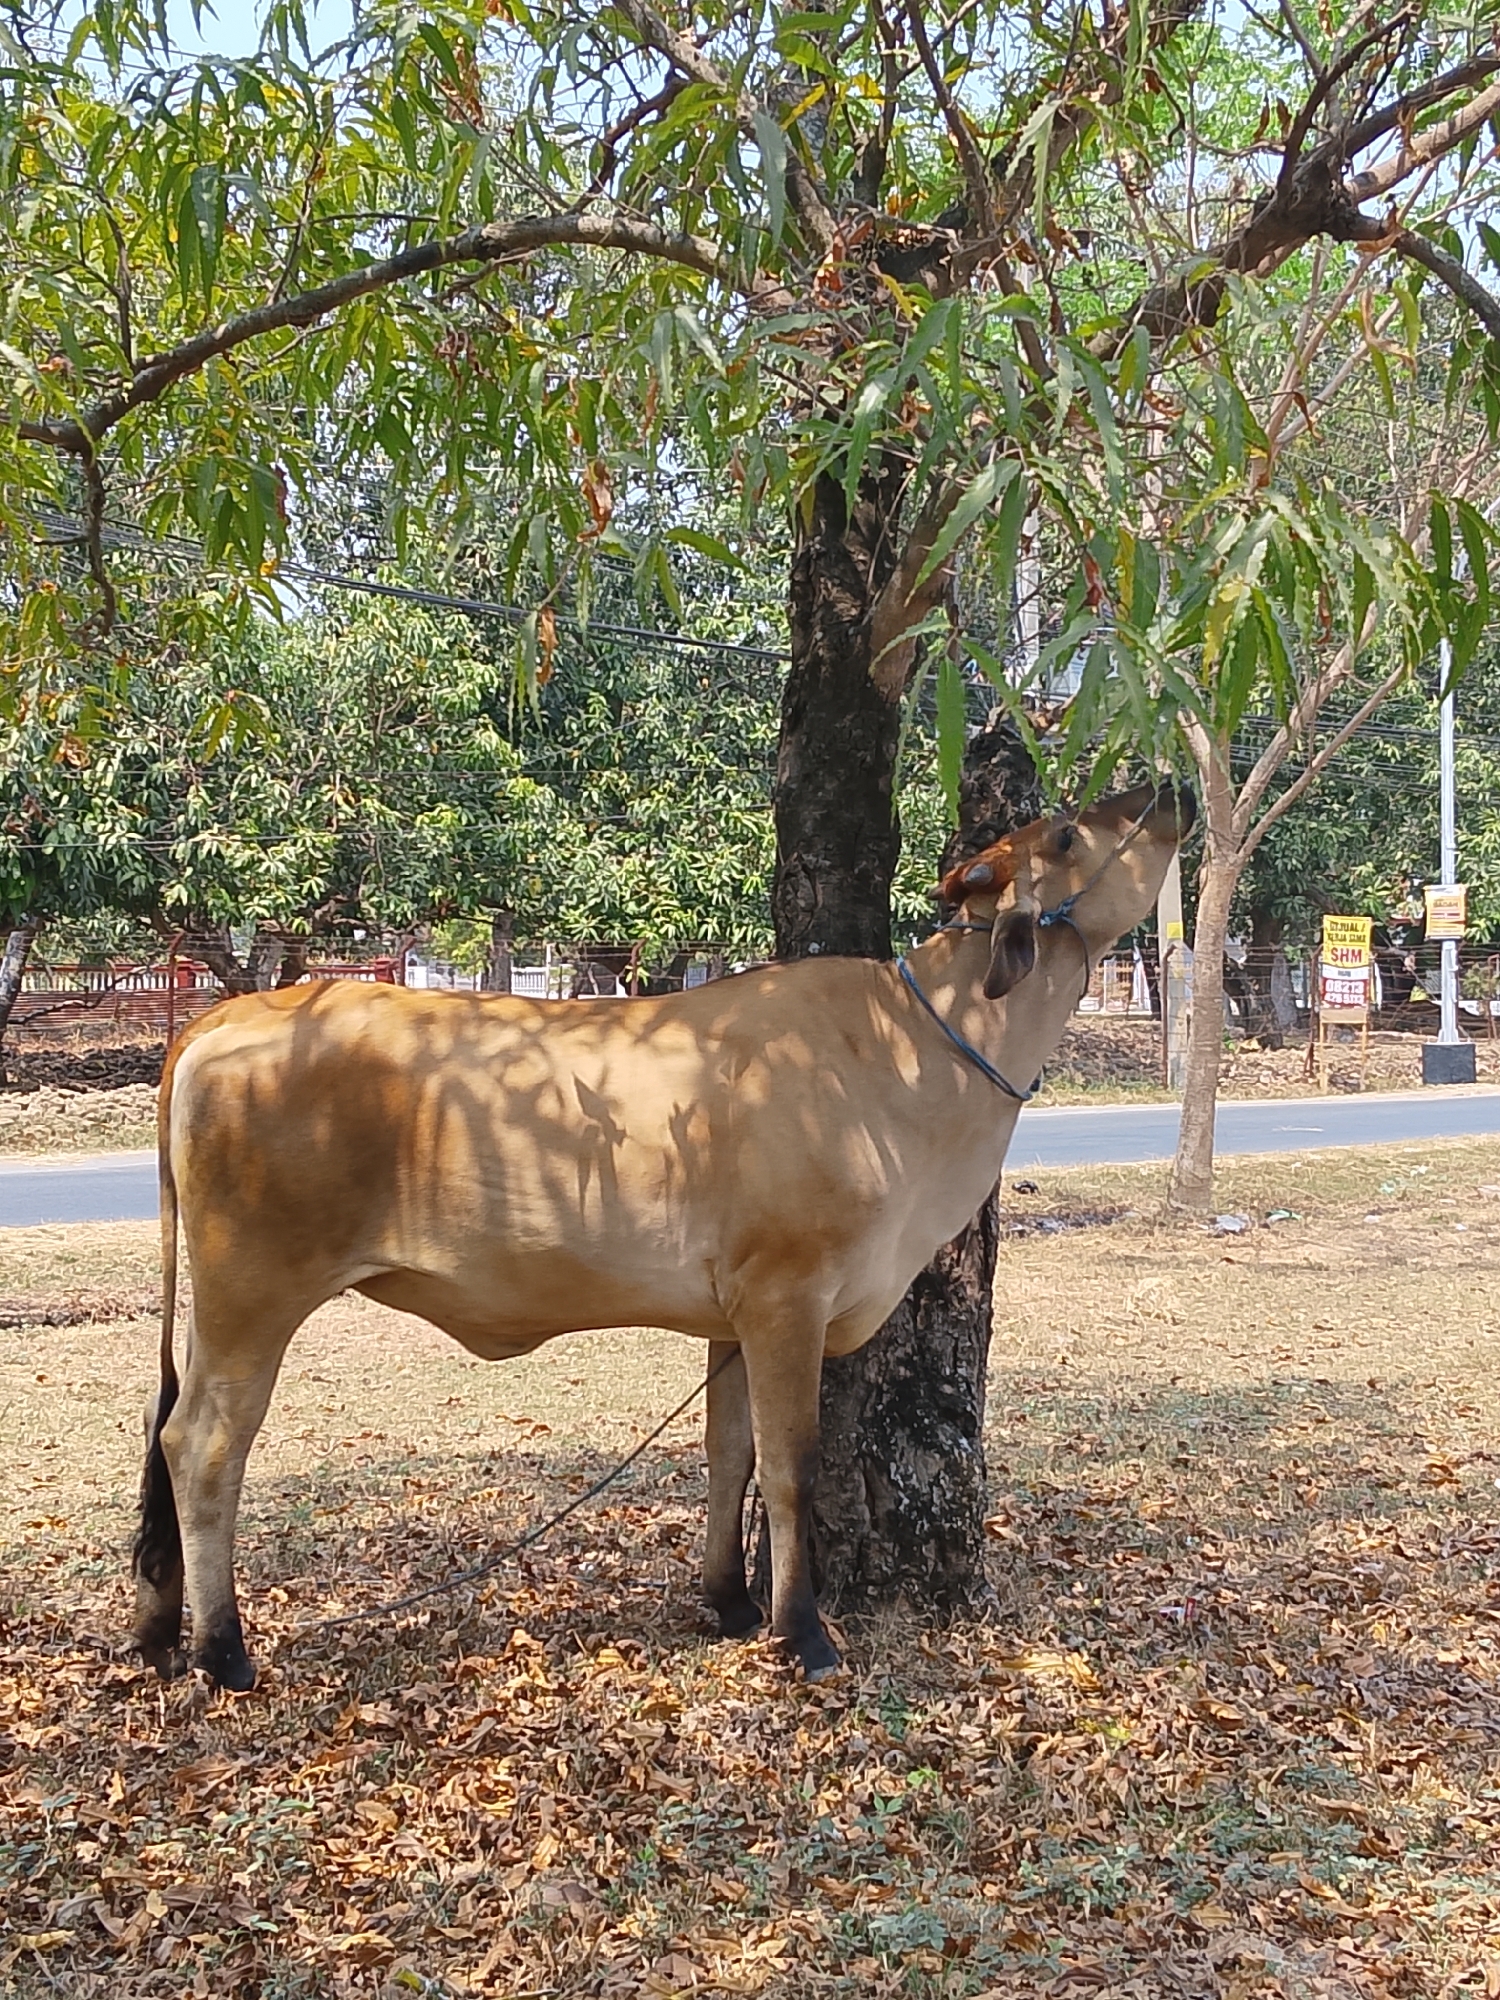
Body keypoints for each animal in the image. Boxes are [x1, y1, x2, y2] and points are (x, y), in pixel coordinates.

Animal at [132, 782, 1190, 1689]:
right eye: (1066, 833)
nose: (1166, 789)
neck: (915, 1051)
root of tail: (225, 1017)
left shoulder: (736, 1316)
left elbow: (731, 1454)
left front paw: (728, 1599)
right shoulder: (789, 1296)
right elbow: (792, 1464)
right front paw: (802, 1631)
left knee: (172, 1435)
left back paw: (161, 1628)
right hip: (250, 1292)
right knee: (204, 1444)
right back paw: (221, 1649)